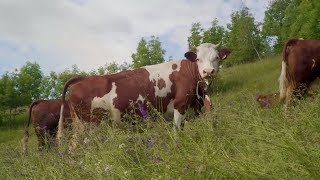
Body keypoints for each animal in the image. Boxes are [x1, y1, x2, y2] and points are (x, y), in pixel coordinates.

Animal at [57, 43, 230, 148]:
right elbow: (176, 130)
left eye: (216, 58)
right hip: (92, 125)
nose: (208, 71)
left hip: (79, 126)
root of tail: (82, 79)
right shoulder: (180, 105)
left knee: (73, 146)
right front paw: (177, 146)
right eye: (198, 59)